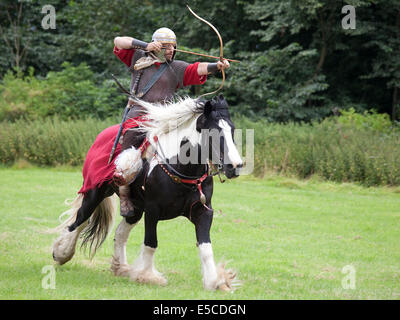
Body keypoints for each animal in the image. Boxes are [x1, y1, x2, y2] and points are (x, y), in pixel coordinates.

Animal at [51, 94, 242, 292]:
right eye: (213, 132)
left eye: (232, 130)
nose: (235, 166)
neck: (181, 168)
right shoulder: (152, 211)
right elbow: (151, 242)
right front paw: (147, 276)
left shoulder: (203, 211)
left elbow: (205, 247)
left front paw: (215, 281)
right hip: (95, 193)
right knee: (80, 220)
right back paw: (61, 253)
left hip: (134, 208)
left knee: (120, 232)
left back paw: (121, 267)